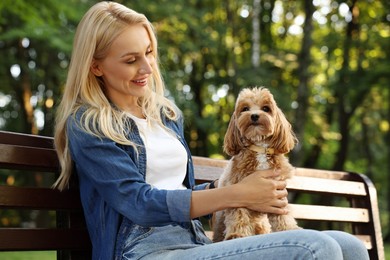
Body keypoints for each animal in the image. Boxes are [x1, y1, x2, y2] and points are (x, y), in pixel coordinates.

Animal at [213, 87, 298, 242]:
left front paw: (288, 229)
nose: (254, 116)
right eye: (245, 108)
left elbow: (282, 214)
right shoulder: (238, 192)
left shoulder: (277, 192)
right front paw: (237, 234)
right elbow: (239, 214)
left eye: (265, 108)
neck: (260, 148)